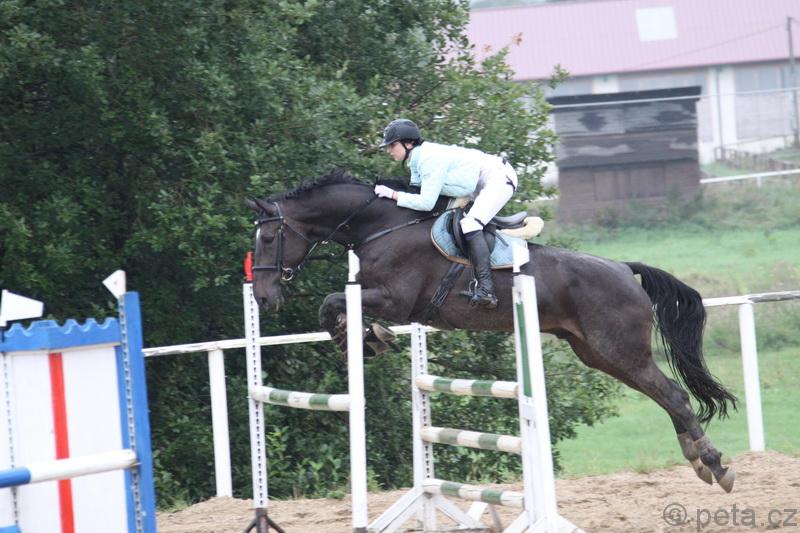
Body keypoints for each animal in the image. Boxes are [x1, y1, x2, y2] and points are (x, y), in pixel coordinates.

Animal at [247, 168, 738, 492]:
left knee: (674, 395)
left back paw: (715, 464)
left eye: (268, 239)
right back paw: (698, 459)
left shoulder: (396, 299)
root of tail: (623, 268)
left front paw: (367, 340)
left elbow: (332, 303)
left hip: (619, 350)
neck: (383, 227)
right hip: (597, 353)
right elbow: (334, 309)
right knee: (667, 397)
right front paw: (368, 340)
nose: (264, 298)